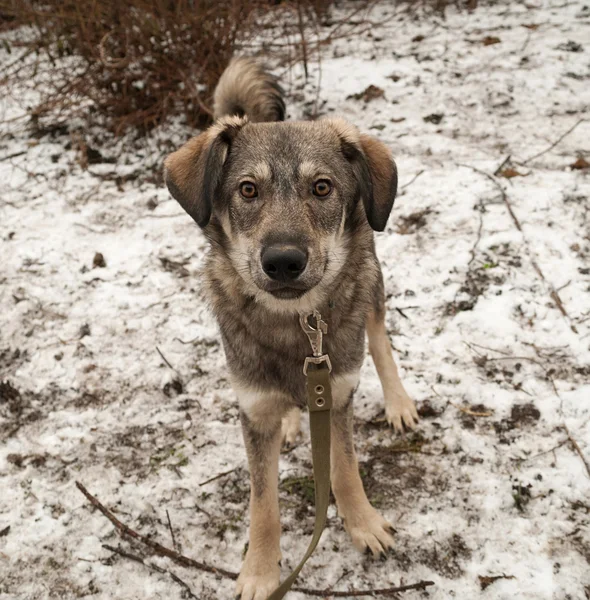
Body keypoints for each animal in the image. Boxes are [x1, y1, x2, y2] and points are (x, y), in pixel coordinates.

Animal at [164, 57, 418, 600]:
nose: (283, 261)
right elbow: (263, 504)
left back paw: (398, 402)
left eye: (322, 187)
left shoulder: (337, 392)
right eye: (248, 189)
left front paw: (363, 524)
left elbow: (344, 468)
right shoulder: (254, 410)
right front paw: (260, 572)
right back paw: (294, 425)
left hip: (371, 288)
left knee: (381, 341)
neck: (295, 328)